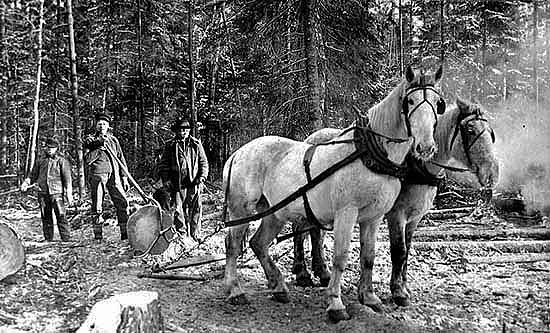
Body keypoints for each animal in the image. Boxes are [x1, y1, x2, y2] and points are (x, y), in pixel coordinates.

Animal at [222, 65, 446, 322]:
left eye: (438, 103)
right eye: (410, 101)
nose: (425, 147)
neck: (369, 153)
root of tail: (237, 153)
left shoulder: (374, 217)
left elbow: (368, 257)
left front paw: (369, 298)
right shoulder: (347, 213)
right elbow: (341, 257)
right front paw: (336, 304)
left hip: (274, 213)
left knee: (258, 243)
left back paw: (279, 287)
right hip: (241, 210)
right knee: (233, 245)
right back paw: (235, 291)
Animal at [296, 96, 502, 308]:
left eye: (491, 132)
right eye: (470, 130)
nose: (492, 174)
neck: (416, 166)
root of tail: (310, 138)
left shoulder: (414, 219)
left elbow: (407, 251)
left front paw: (404, 286)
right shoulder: (397, 215)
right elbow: (399, 251)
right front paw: (397, 291)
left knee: (314, 232)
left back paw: (321, 272)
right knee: (301, 230)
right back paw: (303, 273)